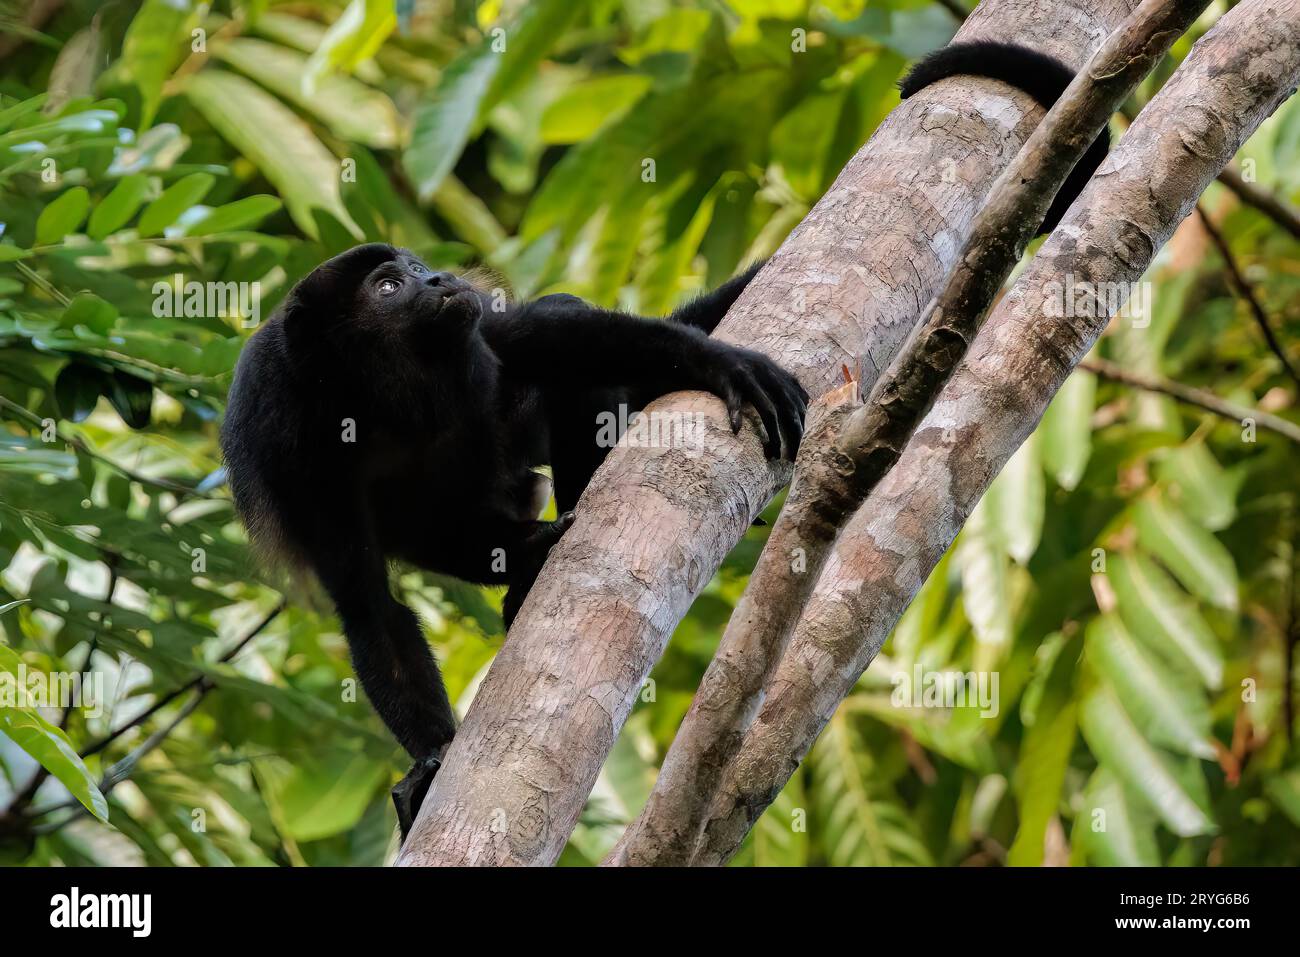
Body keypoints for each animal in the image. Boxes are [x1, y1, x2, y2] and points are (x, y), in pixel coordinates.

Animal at [222, 247, 806, 837]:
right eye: (388, 286)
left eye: (416, 268)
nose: (438, 277)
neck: (375, 390)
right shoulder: (289, 450)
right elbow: (368, 606)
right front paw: (433, 757)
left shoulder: (475, 327)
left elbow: (556, 333)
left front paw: (722, 363)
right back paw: (529, 558)